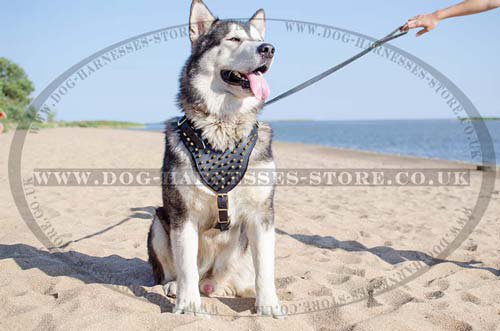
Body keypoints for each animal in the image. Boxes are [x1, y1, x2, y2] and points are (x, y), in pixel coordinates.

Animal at [146, 0, 284, 320]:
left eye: (259, 38)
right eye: (234, 39)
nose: (269, 48)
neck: (224, 127)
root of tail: (212, 280)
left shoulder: (262, 213)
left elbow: (266, 267)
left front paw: (268, 304)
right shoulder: (182, 214)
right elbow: (185, 266)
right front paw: (187, 304)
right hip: (158, 221)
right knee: (177, 271)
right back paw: (174, 286)